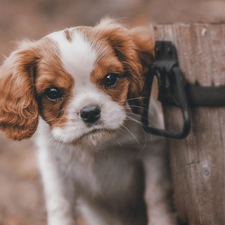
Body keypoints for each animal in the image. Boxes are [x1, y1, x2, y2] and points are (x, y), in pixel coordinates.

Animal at [0, 19, 177, 225]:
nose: (90, 112)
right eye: (52, 93)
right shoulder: (53, 164)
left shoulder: (153, 150)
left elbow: (155, 195)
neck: (94, 147)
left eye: (110, 78)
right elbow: (60, 204)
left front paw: (161, 220)